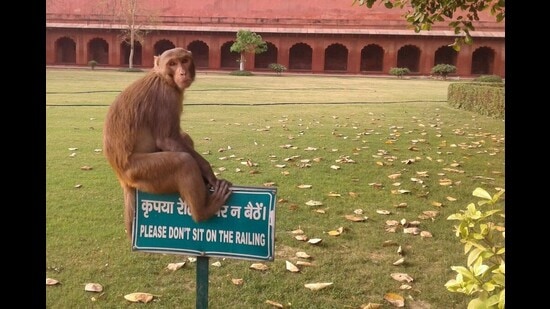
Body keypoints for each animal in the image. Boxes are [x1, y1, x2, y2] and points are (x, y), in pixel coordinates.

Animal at [103, 47, 233, 238]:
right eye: (172, 63)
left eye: (184, 60)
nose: (182, 72)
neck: (164, 78)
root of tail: (120, 175)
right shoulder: (167, 96)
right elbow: (166, 139)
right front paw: (209, 173)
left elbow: (176, 138)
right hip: (139, 172)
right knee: (183, 161)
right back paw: (203, 212)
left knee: (184, 140)